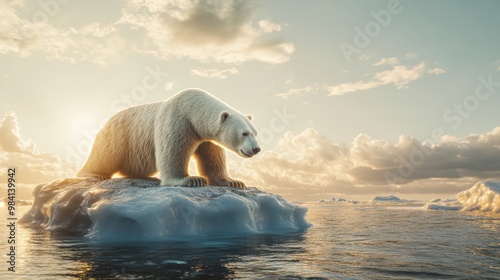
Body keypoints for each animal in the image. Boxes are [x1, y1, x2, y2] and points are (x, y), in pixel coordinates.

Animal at [77, 88, 262, 187]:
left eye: (255, 132)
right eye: (244, 133)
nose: (256, 149)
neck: (193, 109)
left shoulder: (205, 137)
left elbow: (213, 158)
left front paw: (233, 181)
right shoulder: (178, 120)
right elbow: (173, 151)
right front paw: (191, 179)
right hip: (118, 135)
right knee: (104, 155)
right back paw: (93, 174)